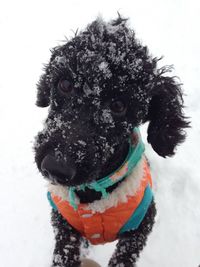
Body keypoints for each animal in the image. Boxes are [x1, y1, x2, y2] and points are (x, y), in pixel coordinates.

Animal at [34, 16, 189, 267]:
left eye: (118, 105)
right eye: (65, 84)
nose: (55, 168)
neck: (93, 196)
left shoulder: (143, 220)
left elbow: (125, 254)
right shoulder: (62, 218)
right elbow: (65, 247)